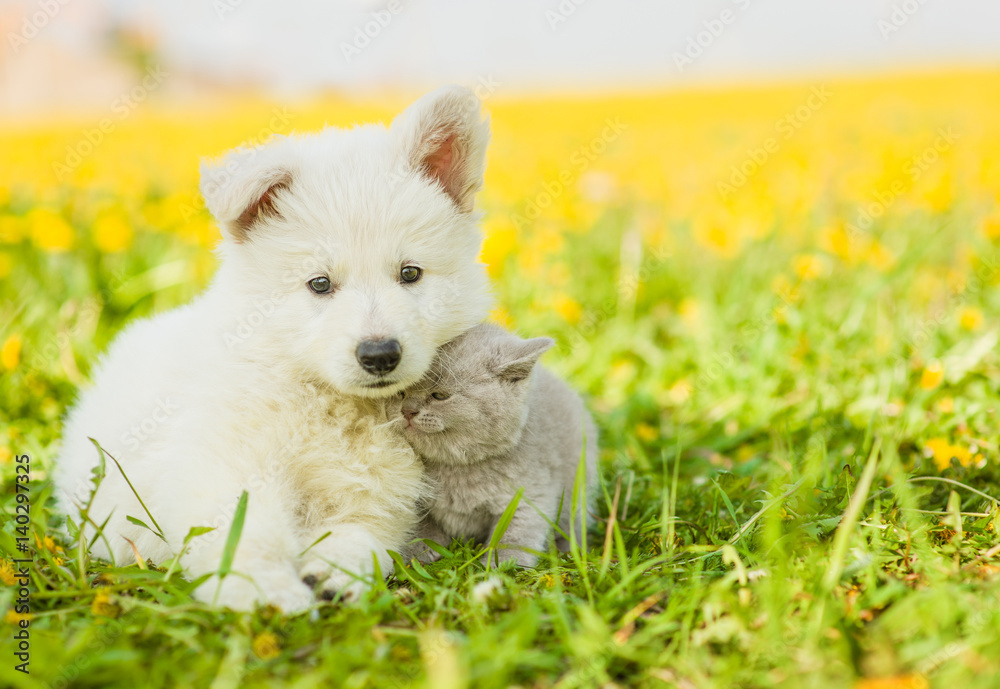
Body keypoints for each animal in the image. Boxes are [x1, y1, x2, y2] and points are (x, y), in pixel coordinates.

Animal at [54, 84, 492, 608]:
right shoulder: (221, 463)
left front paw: (337, 571)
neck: (330, 402)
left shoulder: (384, 492)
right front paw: (268, 590)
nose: (380, 355)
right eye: (319, 283)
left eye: (410, 274)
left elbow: (365, 533)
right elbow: (245, 530)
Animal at [386, 322, 596, 564]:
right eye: (400, 392)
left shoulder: (530, 493)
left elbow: (515, 534)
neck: (459, 467)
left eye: (439, 396)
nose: (407, 410)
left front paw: (503, 564)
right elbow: (417, 520)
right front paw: (419, 548)